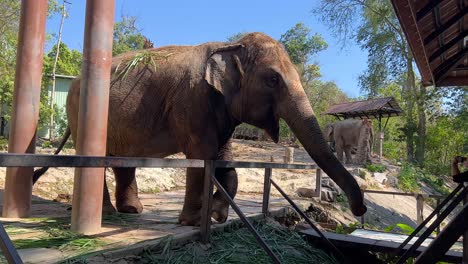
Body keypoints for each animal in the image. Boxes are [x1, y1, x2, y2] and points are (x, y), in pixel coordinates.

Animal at [34, 32, 368, 225]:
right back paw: (107, 216)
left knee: (121, 160)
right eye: (273, 79)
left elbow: (224, 158)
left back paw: (131, 212)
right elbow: (202, 155)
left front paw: (218, 216)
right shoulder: (192, 99)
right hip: (78, 111)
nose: (360, 211)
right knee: (95, 158)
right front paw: (194, 222)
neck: (228, 44)